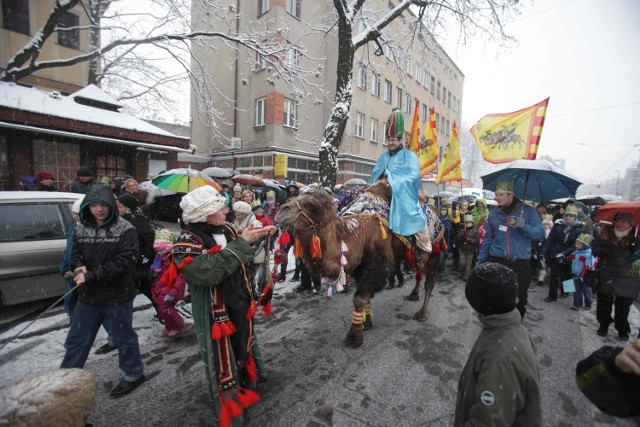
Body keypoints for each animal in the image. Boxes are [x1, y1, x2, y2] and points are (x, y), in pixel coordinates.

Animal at [276, 181, 444, 348]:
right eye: (294, 196)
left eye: (311, 205)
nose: (282, 210)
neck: (358, 234)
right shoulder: (360, 265)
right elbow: (366, 296)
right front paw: (366, 323)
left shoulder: (379, 262)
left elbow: (360, 298)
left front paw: (355, 337)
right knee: (419, 272)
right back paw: (413, 295)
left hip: (435, 249)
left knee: (430, 281)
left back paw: (422, 314)